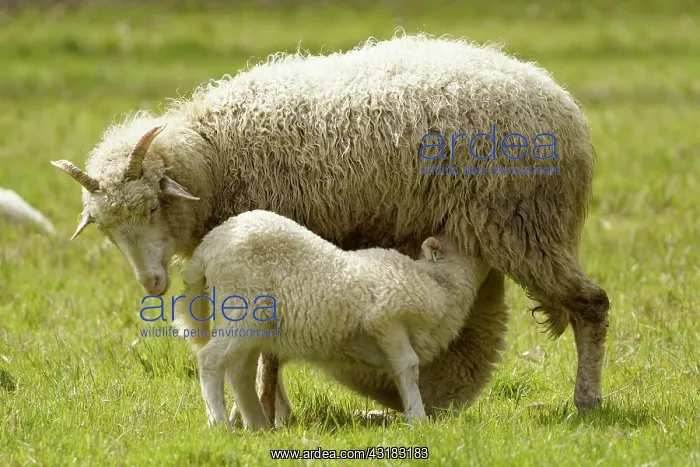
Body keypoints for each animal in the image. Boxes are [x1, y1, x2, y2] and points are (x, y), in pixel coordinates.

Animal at [175, 209, 490, 429]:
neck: (438, 282)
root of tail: (209, 245)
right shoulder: (386, 319)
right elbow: (408, 367)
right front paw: (419, 419)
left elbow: (399, 372)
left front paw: (412, 413)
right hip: (242, 309)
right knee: (210, 359)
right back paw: (219, 423)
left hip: (252, 325)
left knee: (239, 372)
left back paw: (258, 425)